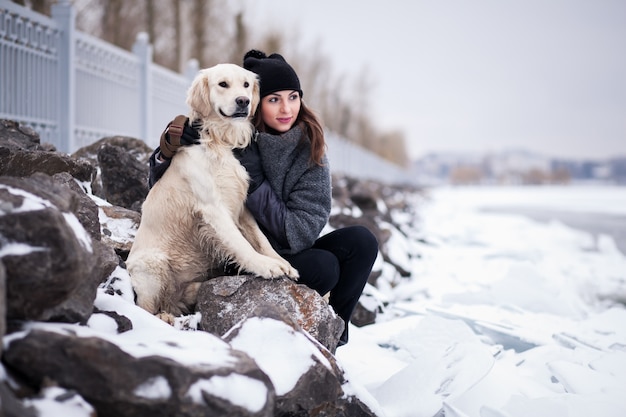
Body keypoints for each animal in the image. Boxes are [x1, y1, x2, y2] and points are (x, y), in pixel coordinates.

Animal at [126, 63, 298, 322]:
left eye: (246, 84)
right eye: (223, 84)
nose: (244, 101)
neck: (220, 139)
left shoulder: (242, 206)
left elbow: (261, 239)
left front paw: (281, 261)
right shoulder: (213, 208)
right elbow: (241, 244)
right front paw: (265, 266)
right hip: (152, 265)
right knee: (146, 308)